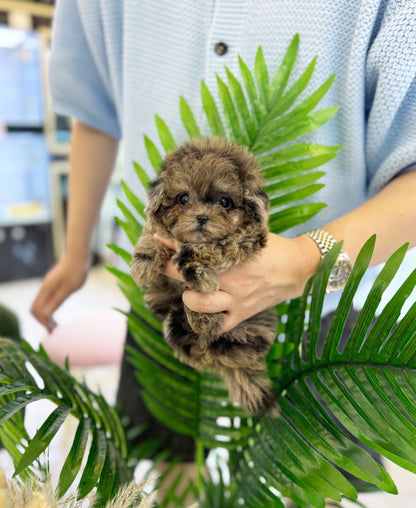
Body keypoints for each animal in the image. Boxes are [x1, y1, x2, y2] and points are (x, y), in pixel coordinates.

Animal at [130, 137, 280, 414]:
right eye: (183, 198)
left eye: (224, 202)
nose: (201, 217)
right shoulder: (160, 268)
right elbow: (153, 234)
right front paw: (145, 258)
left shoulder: (248, 238)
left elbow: (219, 247)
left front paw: (194, 267)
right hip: (172, 323)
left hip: (250, 327)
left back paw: (206, 321)